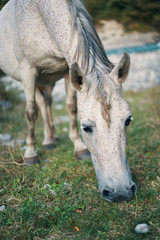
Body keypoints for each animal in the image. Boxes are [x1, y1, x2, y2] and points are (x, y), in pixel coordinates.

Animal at [0, 0, 136, 202]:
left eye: (127, 121)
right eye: (86, 128)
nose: (120, 193)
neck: (40, 14)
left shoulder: (68, 69)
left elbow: (71, 107)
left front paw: (79, 148)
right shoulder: (28, 72)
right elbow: (31, 113)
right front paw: (30, 154)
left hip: (47, 80)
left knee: (46, 102)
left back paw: (50, 139)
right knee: (40, 105)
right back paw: (46, 142)